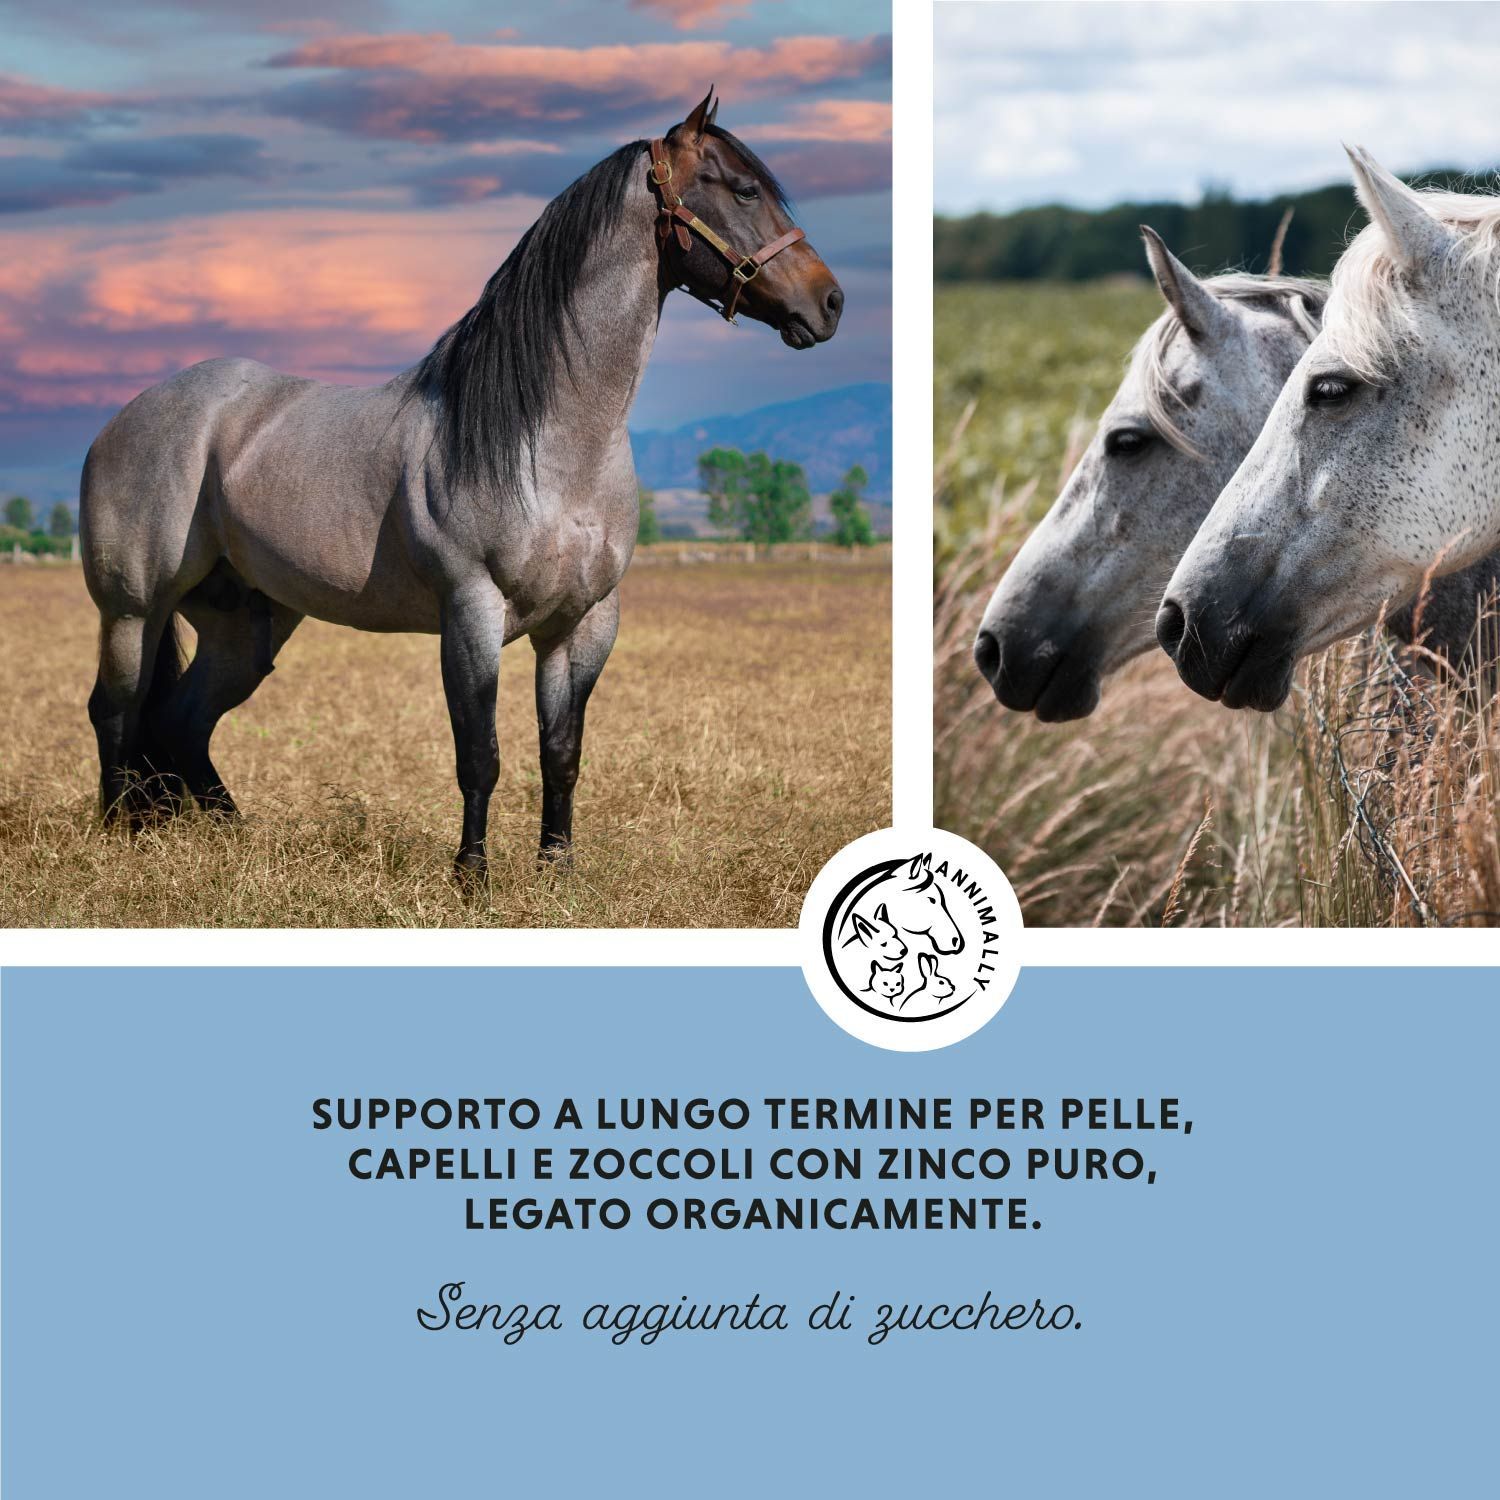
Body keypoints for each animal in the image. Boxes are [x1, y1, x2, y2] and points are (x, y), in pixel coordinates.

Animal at [79, 89, 843, 883]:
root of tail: (126, 419)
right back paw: (118, 838)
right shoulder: (471, 612)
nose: (829, 303)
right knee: (117, 710)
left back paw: (235, 839)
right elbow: (480, 755)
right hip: (133, 610)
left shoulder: (585, 623)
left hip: (245, 625)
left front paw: (556, 872)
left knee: (182, 723)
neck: (552, 444)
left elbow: (561, 754)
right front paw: (472, 877)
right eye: (745, 189)